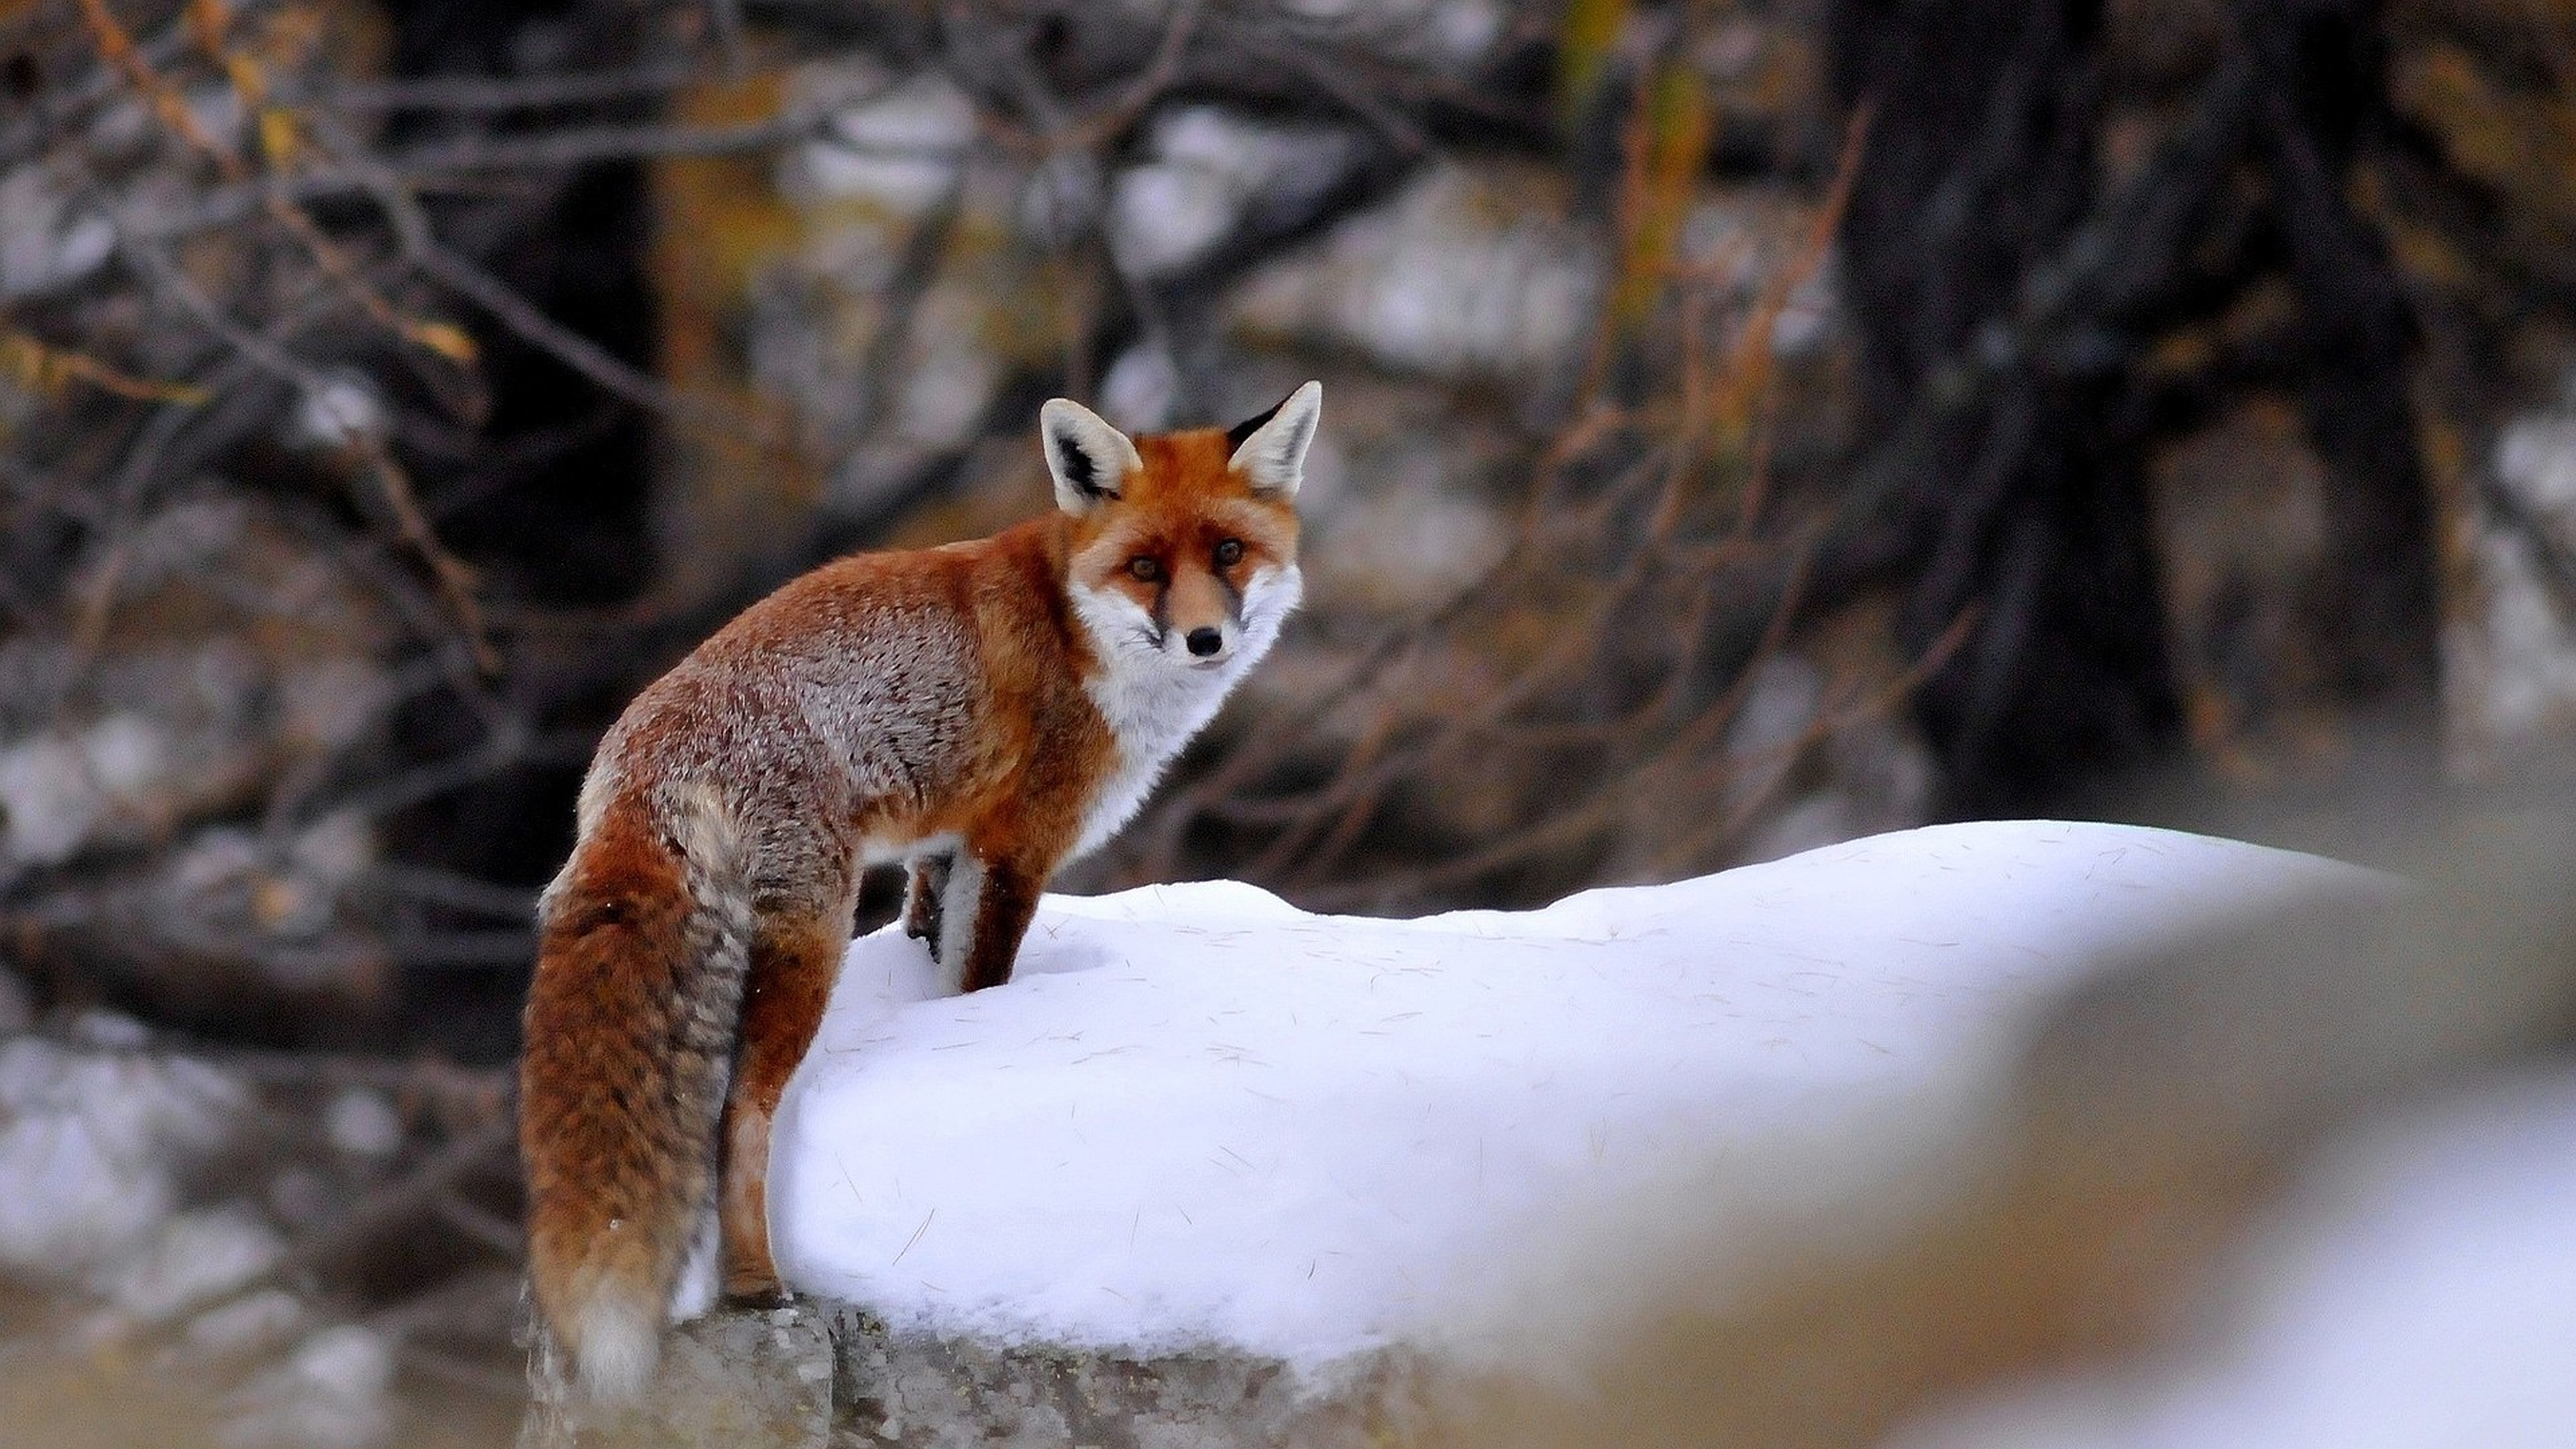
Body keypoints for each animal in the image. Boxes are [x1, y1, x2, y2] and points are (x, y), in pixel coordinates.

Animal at [523, 378, 1329, 1392]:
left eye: (1227, 552)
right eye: (1145, 567)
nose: (1205, 638)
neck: (1075, 630)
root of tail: (644, 753)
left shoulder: (942, 853)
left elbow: (928, 956)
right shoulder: (1014, 848)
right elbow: (978, 986)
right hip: (810, 940)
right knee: (738, 1118)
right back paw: (756, 1287)